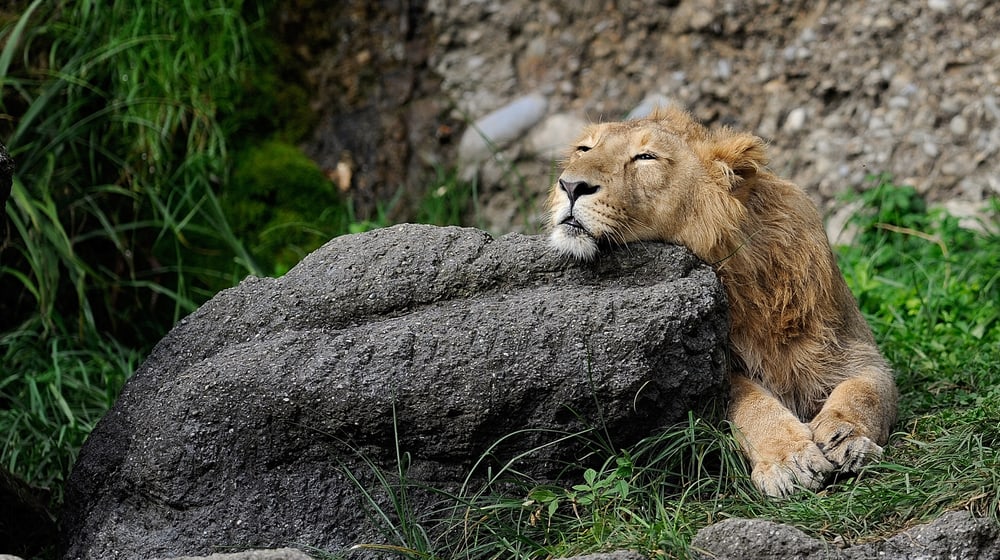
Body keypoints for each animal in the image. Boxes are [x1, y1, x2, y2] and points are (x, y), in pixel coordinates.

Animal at [546, 106, 898, 497]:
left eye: (646, 157)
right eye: (584, 148)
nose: (570, 186)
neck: (743, 276)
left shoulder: (850, 348)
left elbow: (866, 390)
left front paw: (847, 438)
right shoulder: (703, 376)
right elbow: (749, 402)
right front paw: (789, 461)